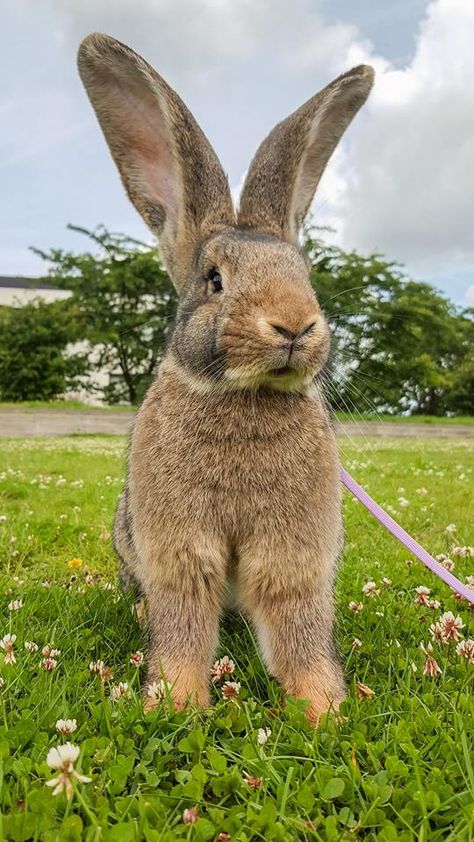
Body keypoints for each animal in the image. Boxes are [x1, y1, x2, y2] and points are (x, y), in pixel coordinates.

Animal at [78, 34, 374, 720]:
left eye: (305, 274)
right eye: (214, 280)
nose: (294, 324)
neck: (246, 393)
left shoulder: (295, 554)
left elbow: (297, 629)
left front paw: (324, 710)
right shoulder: (179, 551)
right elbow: (184, 625)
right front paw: (176, 705)